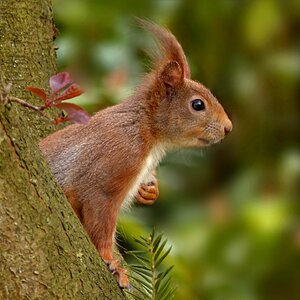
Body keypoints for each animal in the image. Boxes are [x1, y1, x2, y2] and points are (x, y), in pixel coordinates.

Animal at [39, 19, 232, 288]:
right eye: (198, 105)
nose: (228, 128)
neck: (146, 131)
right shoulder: (115, 163)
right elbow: (100, 217)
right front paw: (111, 262)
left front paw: (150, 191)